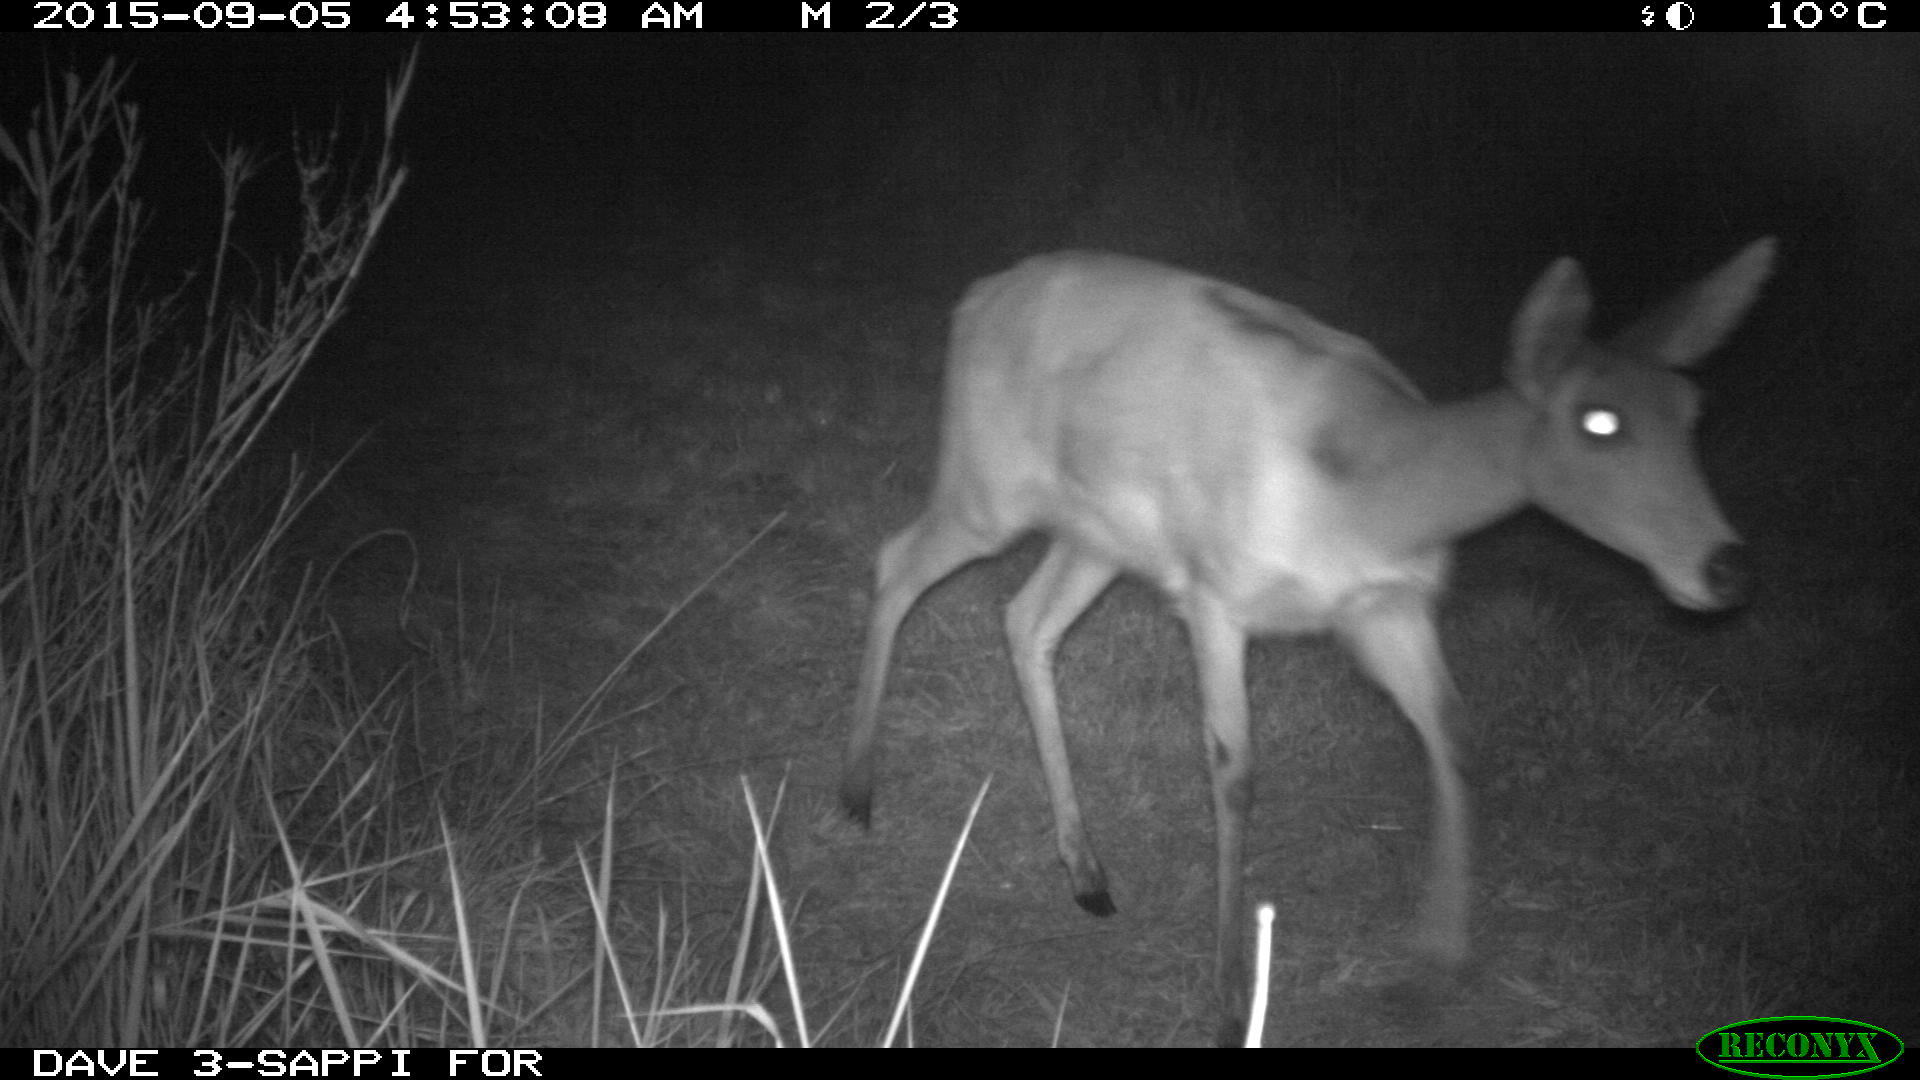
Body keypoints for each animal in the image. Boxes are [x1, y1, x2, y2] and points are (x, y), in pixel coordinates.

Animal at [840, 242, 1766, 1037]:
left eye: (1696, 409)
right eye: (1599, 420)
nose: (1724, 567)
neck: (1369, 494)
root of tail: (976, 297)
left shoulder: (1390, 609)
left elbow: (1456, 735)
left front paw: (1432, 968)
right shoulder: (1216, 592)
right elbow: (1236, 770)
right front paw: (1228, 999)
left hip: (1097, 532)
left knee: (1026, 620)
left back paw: (1086, 872)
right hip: (989, 482)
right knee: (896, 560)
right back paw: (856, 790)